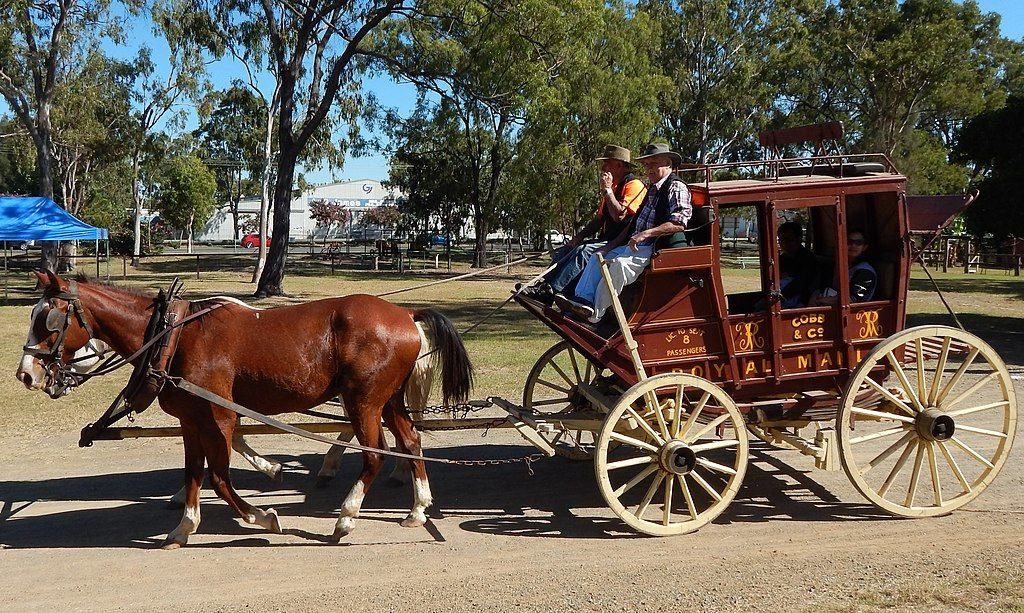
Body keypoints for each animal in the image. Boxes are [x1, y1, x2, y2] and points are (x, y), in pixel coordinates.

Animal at [16, 270, 472, 548]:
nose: (25, 374)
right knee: (410, 442)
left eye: (50, 320)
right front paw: (183, 526)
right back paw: (417, 509)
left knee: (375, 455)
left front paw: (263, 516)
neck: (173, 337)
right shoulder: (192, 420)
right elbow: (194, 473)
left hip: (363, 401)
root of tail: (406, 314)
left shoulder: (220, 416)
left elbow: (219, 477)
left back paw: (345, 517)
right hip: (387, 400)